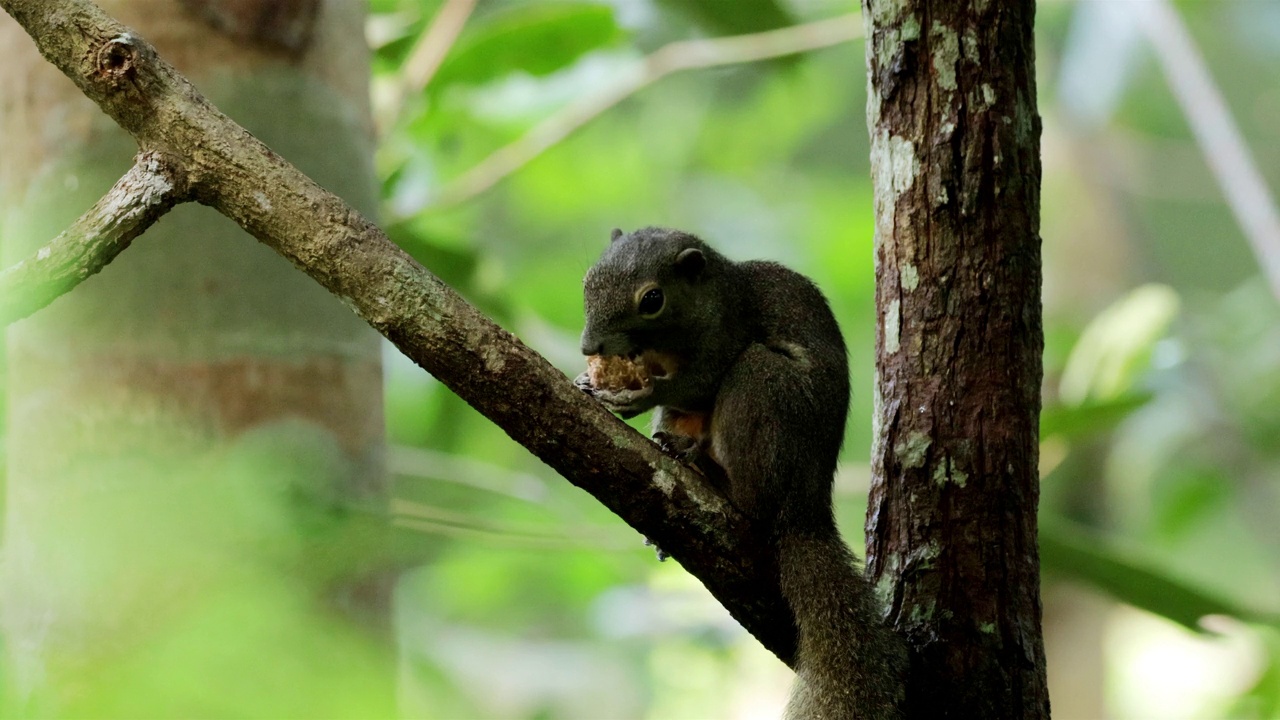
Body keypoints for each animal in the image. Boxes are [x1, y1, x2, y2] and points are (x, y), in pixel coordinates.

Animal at [576, 226, 906, 717]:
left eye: (652, 300)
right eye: (588, 281)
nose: (588, 348)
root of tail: (804, 507)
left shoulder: (727, 335)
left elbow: (696, 383)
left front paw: (637, 396)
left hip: (762, 387)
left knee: (753, 497)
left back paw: (712, 474)